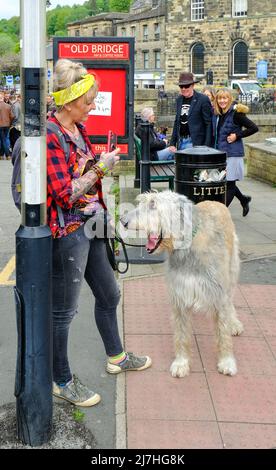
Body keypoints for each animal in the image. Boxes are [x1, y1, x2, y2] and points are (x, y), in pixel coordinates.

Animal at [122, 191, 243, 378]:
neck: (186, 248)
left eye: (153, 204)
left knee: (230, 300)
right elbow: (181, 334)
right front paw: (181, 362)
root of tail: (214, 201)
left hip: (232, 270)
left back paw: (234, 323)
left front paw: (226, 361)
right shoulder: (180, 295)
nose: (123, 221)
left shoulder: (218, 292)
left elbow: (222, 332)